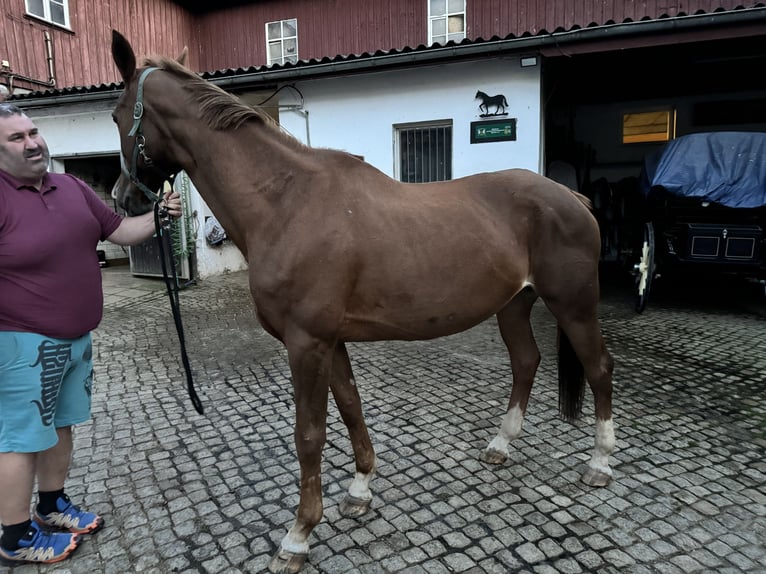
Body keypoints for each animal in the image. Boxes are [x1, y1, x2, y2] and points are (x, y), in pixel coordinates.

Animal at [109, 30, 616, 574]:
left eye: (117, 116)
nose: (123, 200)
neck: (287, 203)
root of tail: (572, 198)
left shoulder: (306, 343)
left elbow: (309, 434)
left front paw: (298, 536)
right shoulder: (331, 341)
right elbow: (351, 407)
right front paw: (359, 489)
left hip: (574, 304)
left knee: (598, 368)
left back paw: (600, 463)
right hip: (514, 305)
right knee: (526, 361)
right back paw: (500, 445)